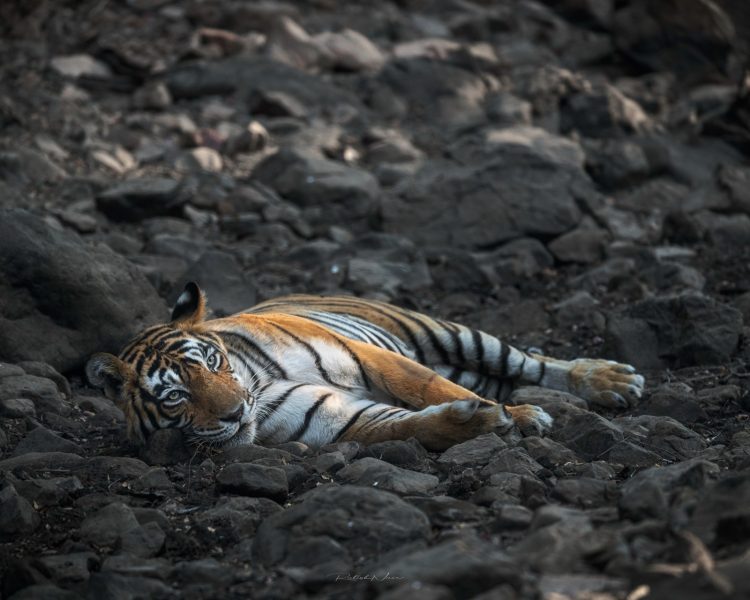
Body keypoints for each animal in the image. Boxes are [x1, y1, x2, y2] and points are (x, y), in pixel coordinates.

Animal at [86, 284, 648, 452]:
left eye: (212, 361)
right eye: (175, 396)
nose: (234, 413)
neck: (258, 384)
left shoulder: (363, 353)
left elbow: (427, 387)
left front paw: (520, 417)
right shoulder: (332, 417)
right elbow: (407, 426)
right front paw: (483, 421)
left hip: (449, 333)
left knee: (532, 362)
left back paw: (611, 381)